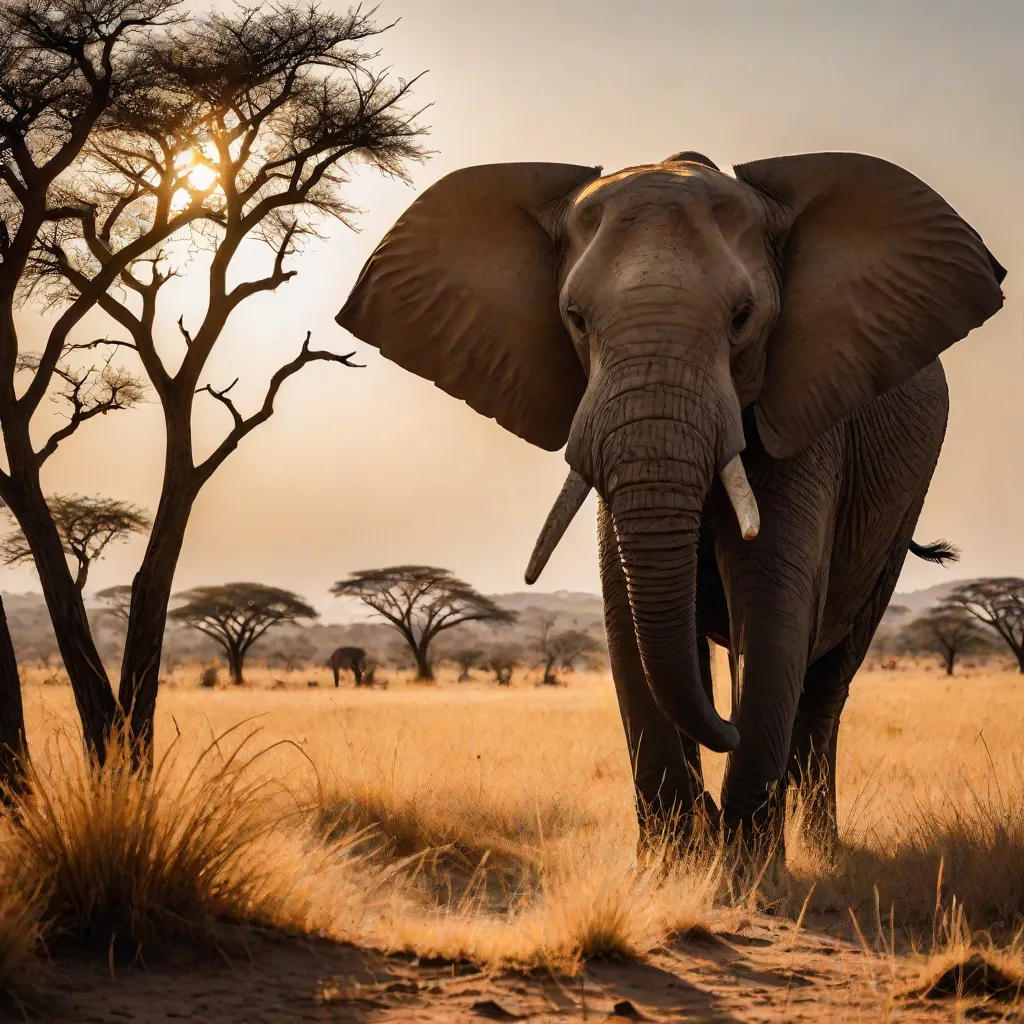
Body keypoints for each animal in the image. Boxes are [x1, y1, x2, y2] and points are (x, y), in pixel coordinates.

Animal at [336, 150, 1005, 852]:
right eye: (576, 319)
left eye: (743, 318)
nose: (727, 737)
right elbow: (624, 609)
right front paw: (676, 857)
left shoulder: (806, 414)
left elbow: (773, 599)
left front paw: (744, 861)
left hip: (904, 500)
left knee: (828, 680)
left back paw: (821, 847)